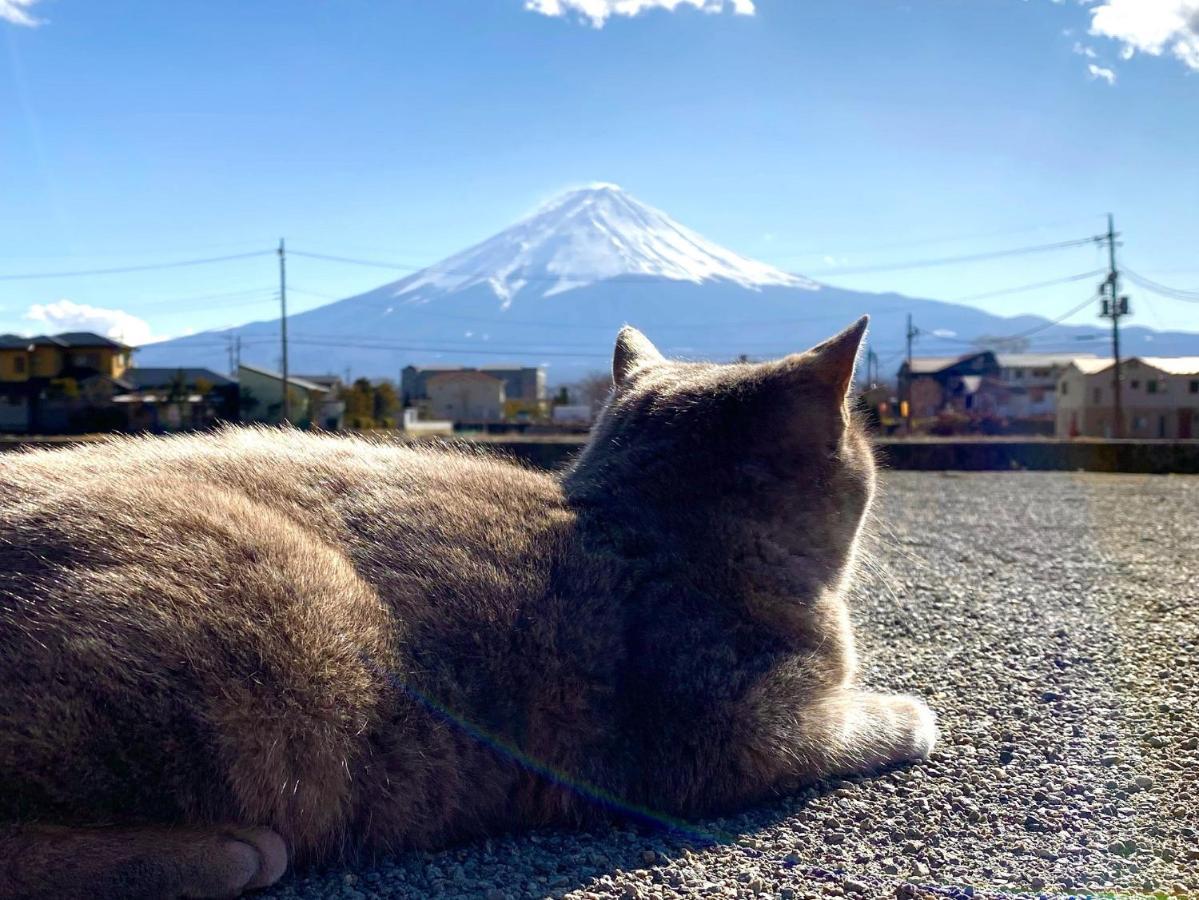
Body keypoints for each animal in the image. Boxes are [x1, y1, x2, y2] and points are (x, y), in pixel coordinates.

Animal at [0, 313, 935, 896]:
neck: (648, 523)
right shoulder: (735, 734)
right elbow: (858, 724)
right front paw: (912, 713)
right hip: (287, 613)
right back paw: (232, 855)